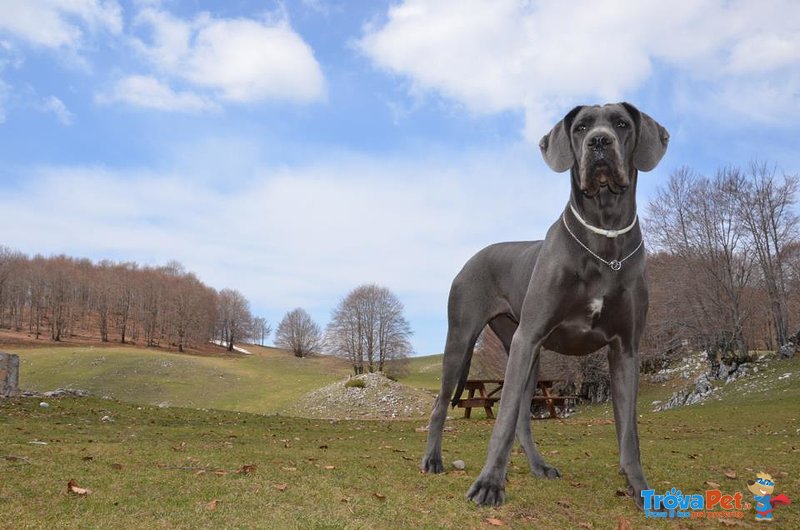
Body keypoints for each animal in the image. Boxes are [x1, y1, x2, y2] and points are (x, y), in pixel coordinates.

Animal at [424, 103, 668, 508]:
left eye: (621, 123)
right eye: (582, 127)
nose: (599, 142)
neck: (604, 239)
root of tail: (472, 258)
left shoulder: (626, 349)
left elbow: (628, 431)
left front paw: (639, 487)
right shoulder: (530, 336)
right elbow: (502, 419)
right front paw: (488, 485)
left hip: (526, 352)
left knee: (524, 419)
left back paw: (538, 466)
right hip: (465, 342)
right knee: (442, 405)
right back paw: (432, 460)